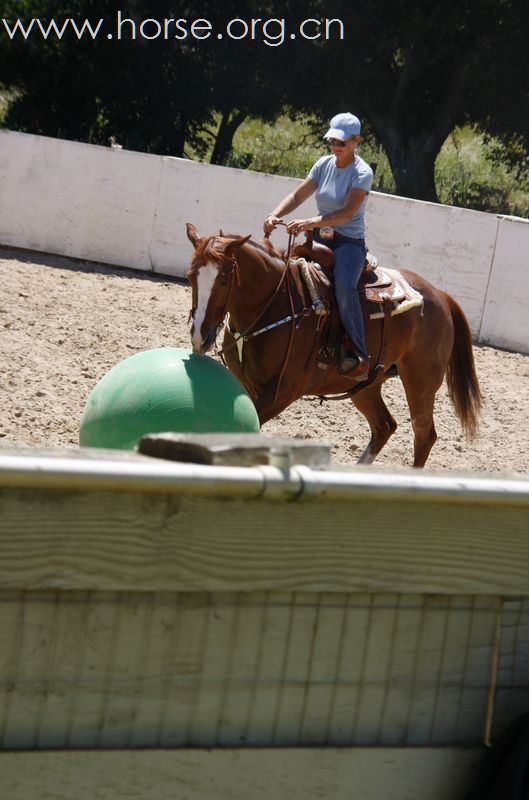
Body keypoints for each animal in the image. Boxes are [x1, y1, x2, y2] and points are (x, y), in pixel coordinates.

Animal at [184, 222, 480, 466]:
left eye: (224, 279)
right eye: (190, 275)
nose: (200, 336)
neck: (275, 304)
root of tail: (440, 295)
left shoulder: (284, 391)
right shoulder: (246, 384)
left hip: (421, 382)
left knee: (423, 434)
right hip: (365, 385)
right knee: (385, 426)